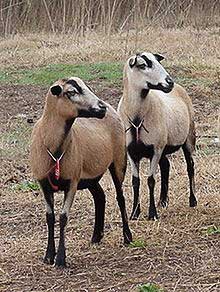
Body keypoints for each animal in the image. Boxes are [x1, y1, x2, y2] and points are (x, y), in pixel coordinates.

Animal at [29, 77, 131, 266]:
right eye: (71, 92)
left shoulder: (72, 182)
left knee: (120, 197)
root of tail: (113, 110)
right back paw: (96, 237)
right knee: (100, 196)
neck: (54, 149)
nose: (101, 107)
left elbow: (63, 217)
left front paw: (60, 259)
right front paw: (48, 255)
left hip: (119, 160)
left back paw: (128, 237)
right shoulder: (43, 183)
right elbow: (49, 217)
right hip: (90, 176)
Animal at [118, 52, 198, 220]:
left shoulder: (155, 149)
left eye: (158, 62)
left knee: (190, 167)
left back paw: (193, 200)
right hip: (163, 146)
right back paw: (163, 201)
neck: (137, 119)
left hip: (188, 138)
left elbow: (151, 180)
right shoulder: (131, 151)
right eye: (143, 65)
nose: (169, 82)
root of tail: (179, 88)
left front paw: (152, 213)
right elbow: (135, 181)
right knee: (166, 165)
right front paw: (134, 213)